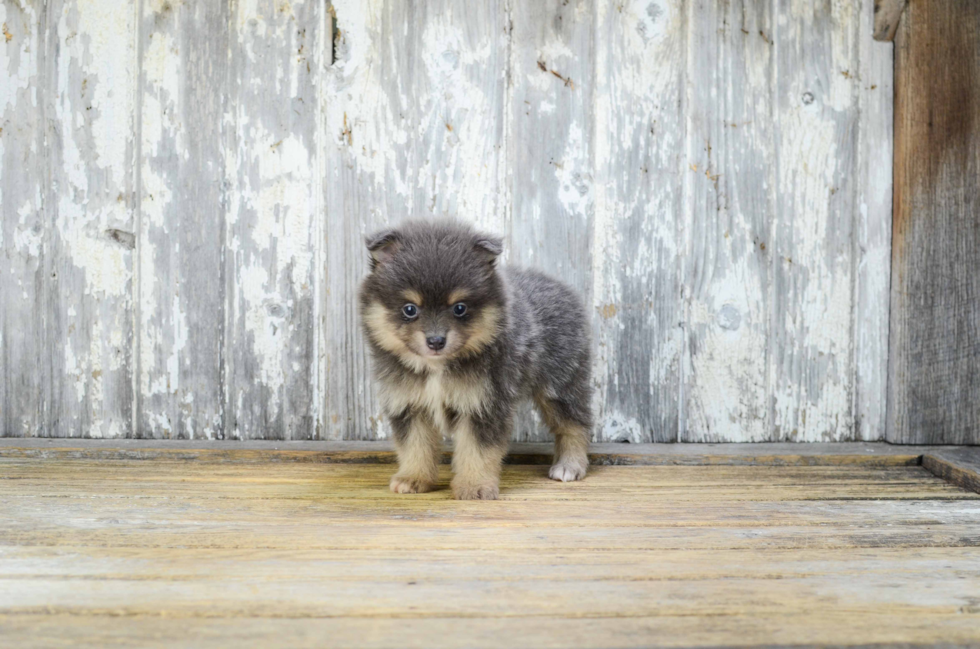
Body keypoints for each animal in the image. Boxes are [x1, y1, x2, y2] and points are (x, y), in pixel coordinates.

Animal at [358, 220, 588, 498]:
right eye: (410, 309)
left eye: (460, 308)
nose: (436, 341)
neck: (436, 368)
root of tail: (559, 286)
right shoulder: (410, 404)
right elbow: (415, 446)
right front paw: (413, 478)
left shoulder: (484, 403)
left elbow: (477, 451)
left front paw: (474, 486)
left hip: (561, 383)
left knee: (573, 424)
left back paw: (569, 465)